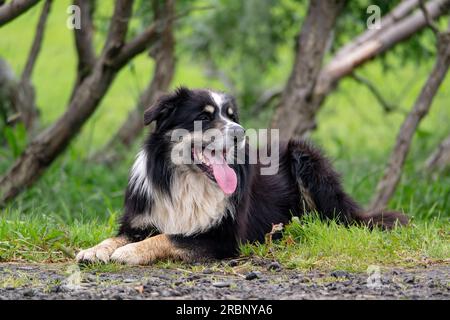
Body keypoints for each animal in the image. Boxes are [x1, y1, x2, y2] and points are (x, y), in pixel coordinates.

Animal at [76, 87, 408, 264]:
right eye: (204, 116)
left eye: (231, 116)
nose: (240, 132)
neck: (187, 181)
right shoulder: (141, 220)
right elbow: (115, 237)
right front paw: (93, 250)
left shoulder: (223, 238)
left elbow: (169, 237)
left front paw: (131, 252)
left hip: (305, 158)